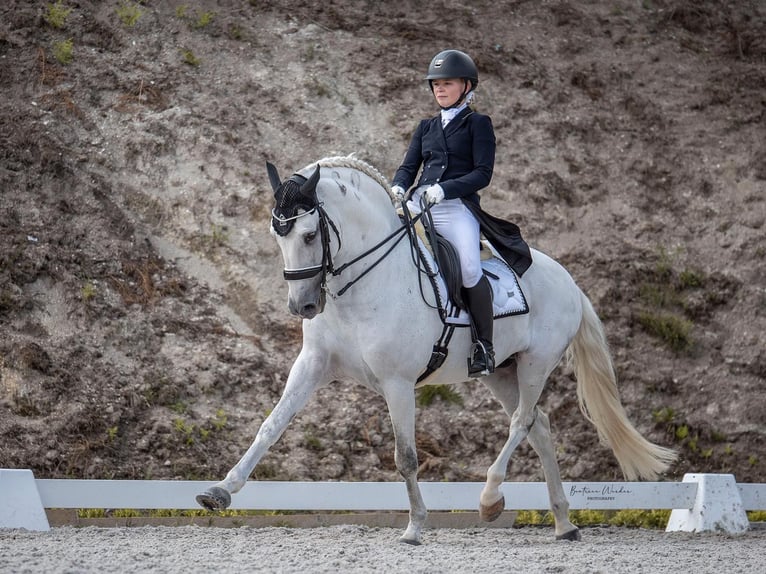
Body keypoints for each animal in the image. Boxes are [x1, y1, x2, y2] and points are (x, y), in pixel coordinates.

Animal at [198, 155, 680, 548]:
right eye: (276, 234)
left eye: (311, 233)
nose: (302, 306)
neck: (362, 286)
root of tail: (568, 279)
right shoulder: (312, 365)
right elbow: (270, 426)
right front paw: (219, 490)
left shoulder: (397, 383)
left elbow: (405, 456)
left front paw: (415, 527)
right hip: (499, 371)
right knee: (539, 426)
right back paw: (563, 524)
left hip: (536, 364)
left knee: (522, 422)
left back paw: (490, 499)